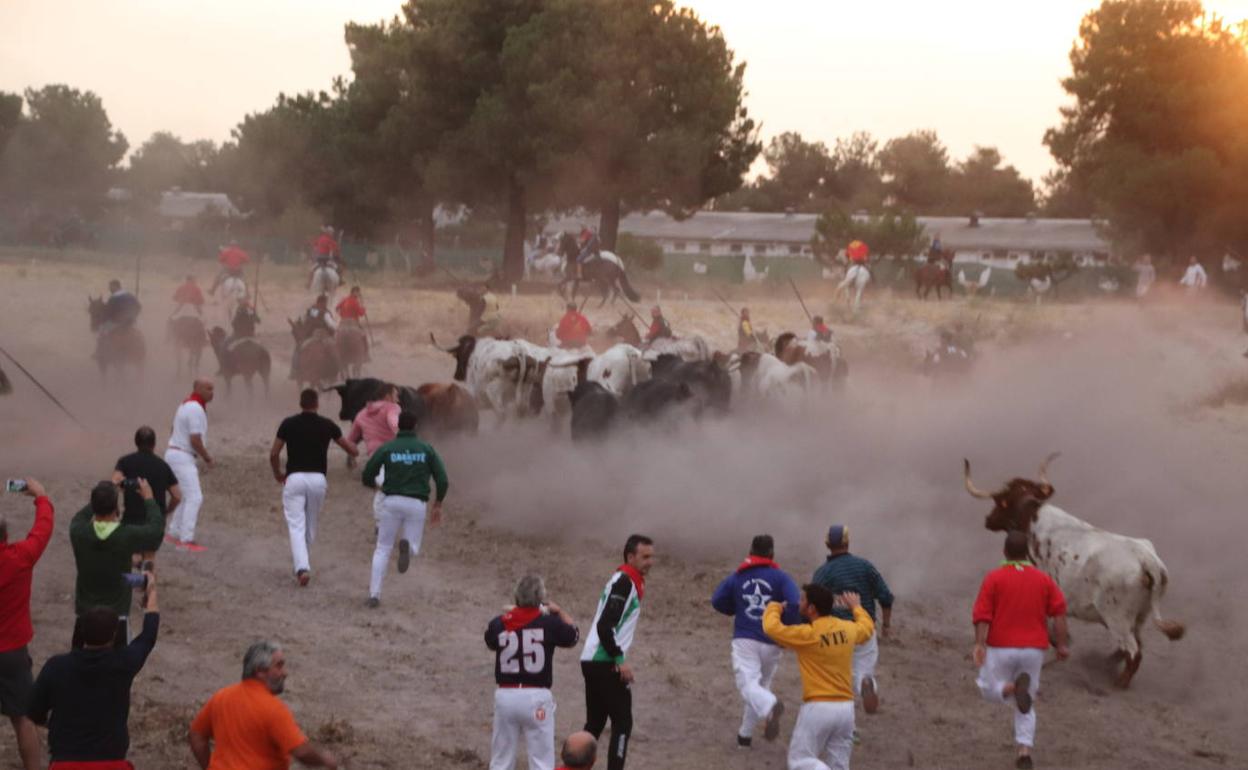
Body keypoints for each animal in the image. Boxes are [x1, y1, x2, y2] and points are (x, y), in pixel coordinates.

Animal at [958, 449, 1183, 683]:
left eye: (999, 501)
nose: (988, 520)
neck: (1033, 517)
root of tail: (1147, 560)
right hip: (1139, 616)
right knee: (1133, 645)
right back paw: (1104, 663)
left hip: (1117, 618)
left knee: (1133, 651)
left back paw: (1119, 682)